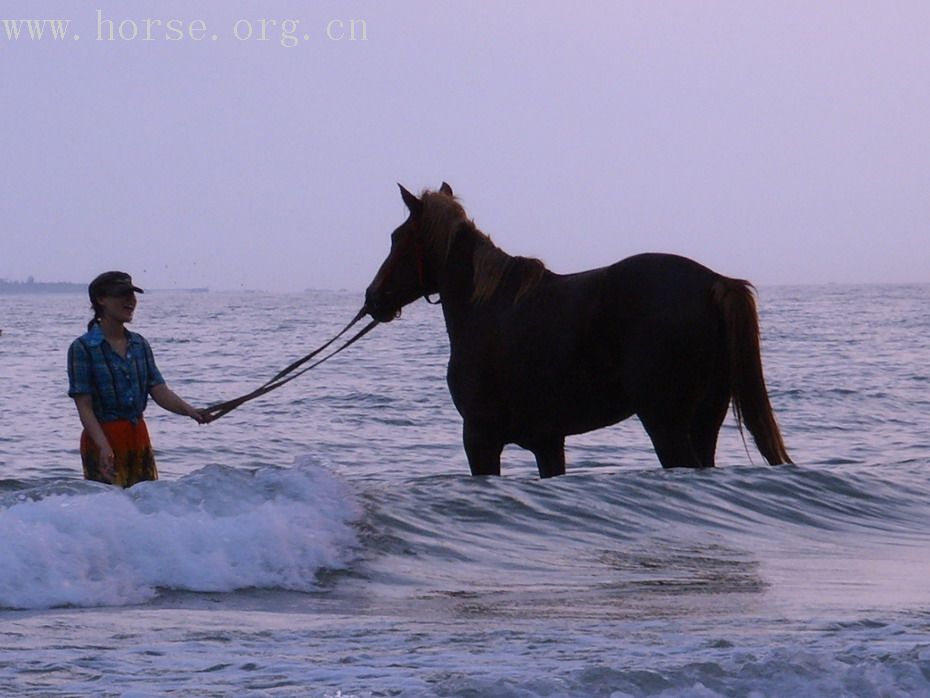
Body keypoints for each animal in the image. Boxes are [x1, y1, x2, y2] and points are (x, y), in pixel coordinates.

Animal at [362, 182, 792, 476]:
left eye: (397, 238)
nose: (373, 297)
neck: (488, 308)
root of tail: (714, 282)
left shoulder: (480, 438)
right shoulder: (548, 443)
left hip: (666, 423)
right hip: (704, 421)